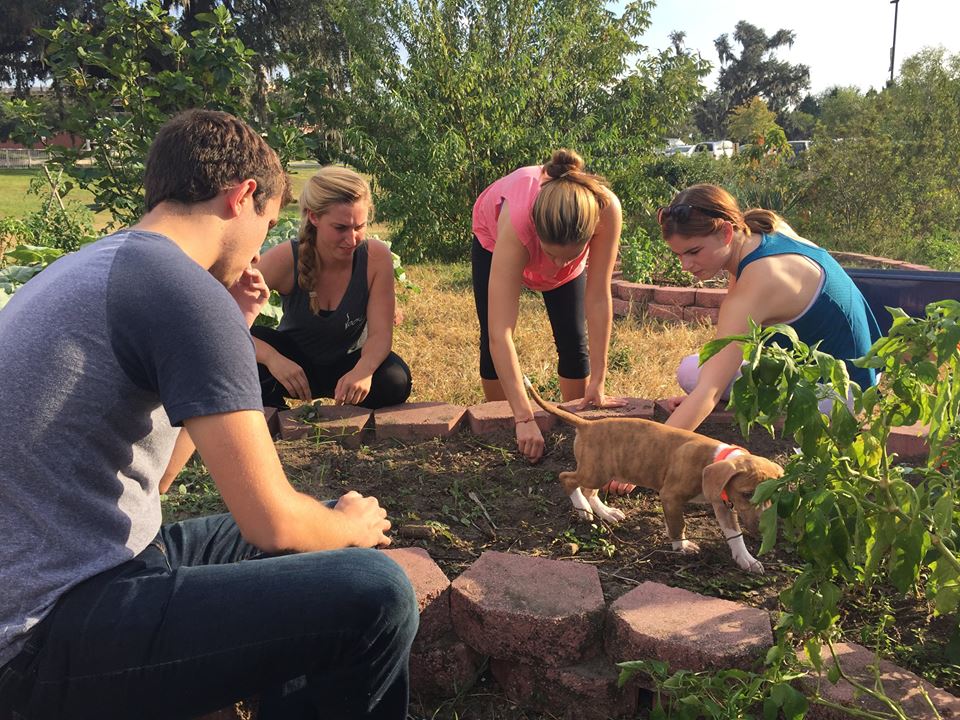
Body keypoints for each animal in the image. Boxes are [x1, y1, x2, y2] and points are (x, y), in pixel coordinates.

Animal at [524, 376, 780, 572]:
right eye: (746, 493)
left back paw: (606, 513)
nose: (765, 531)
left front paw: (746, 559)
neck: (718, 457)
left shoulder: (722, 505)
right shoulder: (671, 496)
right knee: (567, 478)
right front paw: (682, 547)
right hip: (594, 472)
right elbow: (678, 524)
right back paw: (583, 509)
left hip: (603, 470)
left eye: (773, 496)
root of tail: (588, 424)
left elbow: (734, 534)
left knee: (589, 491)